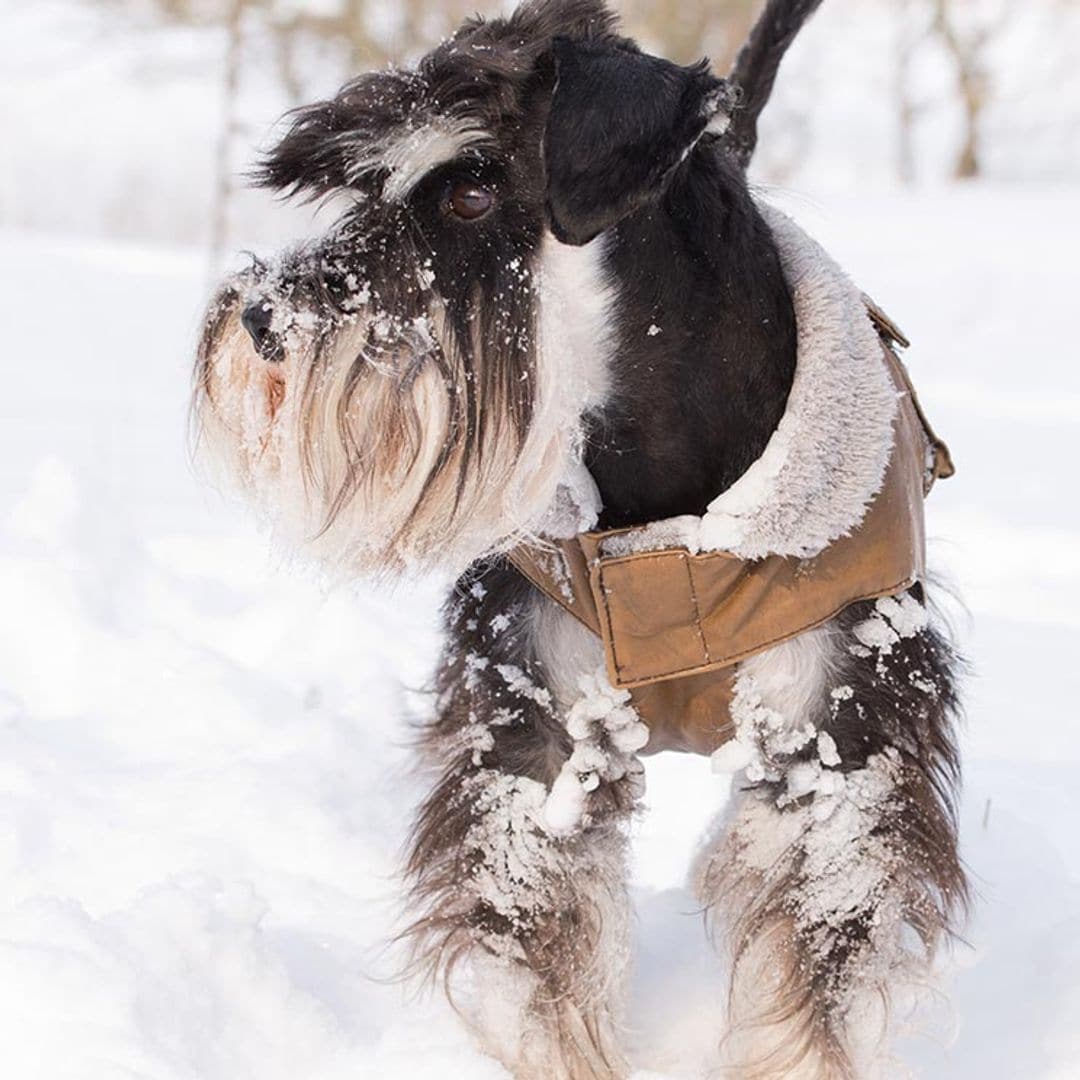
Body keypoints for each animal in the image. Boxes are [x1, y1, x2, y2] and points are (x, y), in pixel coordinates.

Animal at [190, 4, 967, 1075]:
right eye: (359, 189)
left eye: (472, 192)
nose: (264, 319)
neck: (659, 496)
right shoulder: (537, 733)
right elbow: (539, 965)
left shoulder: (836, 750)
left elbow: (811, 982)